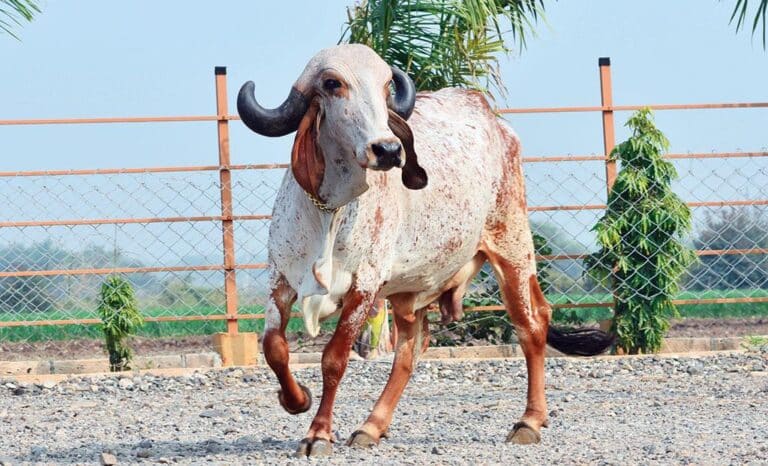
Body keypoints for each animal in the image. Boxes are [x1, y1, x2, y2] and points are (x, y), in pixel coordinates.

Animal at [237, 44, 613, 457]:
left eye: (386, 85)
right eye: (333, 83)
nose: (387, 150)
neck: (329, 209)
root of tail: (493, 121)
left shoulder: (363, 287)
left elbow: (333, 359)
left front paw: (318, 433)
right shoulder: (281, 280)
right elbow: (274, 347)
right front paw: (296, 399)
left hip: (512, 247)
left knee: (531, 326)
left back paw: (529, 421)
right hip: (410, 289)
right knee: (410, 350)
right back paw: (371, 427)